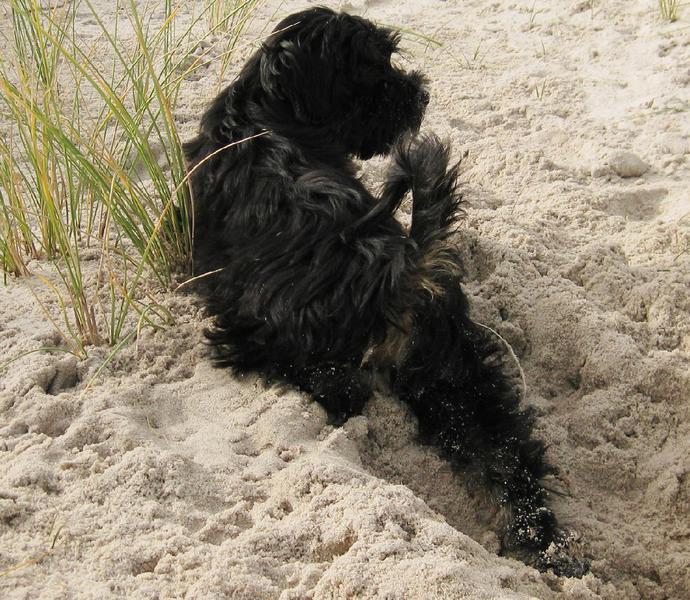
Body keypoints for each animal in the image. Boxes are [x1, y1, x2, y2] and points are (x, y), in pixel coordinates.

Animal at [184, 7, 587, 576]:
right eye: (370, 71)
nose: (419, 92)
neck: (261, 114)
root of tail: (396, 267)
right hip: (453, 365)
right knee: (504, 446)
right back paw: (545, 544)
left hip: (279, 343)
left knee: (338, 392)